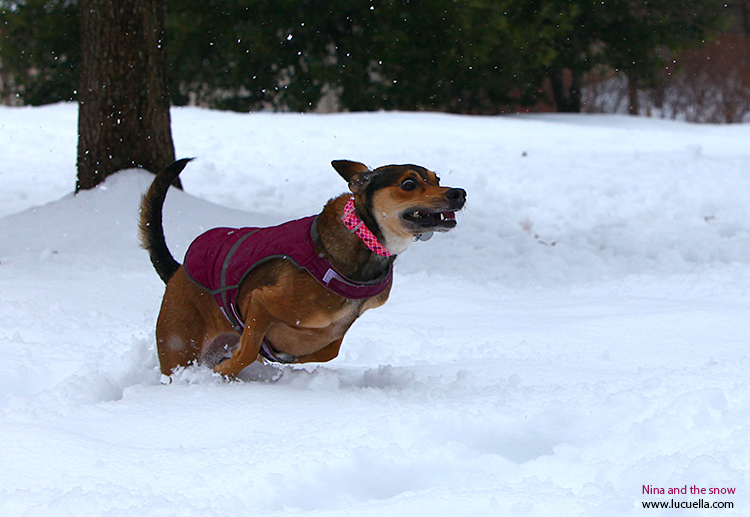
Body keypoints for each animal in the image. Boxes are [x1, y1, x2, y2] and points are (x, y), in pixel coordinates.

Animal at [139, 157, 468, 374]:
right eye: (409, 184)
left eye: (437, 179)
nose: (459, 193)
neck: (364, 237)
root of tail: (177, 271)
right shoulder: (261, 301)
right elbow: (248, 351)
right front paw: (227, 368)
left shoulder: (335, 330)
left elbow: (328, 351)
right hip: (179, 343)